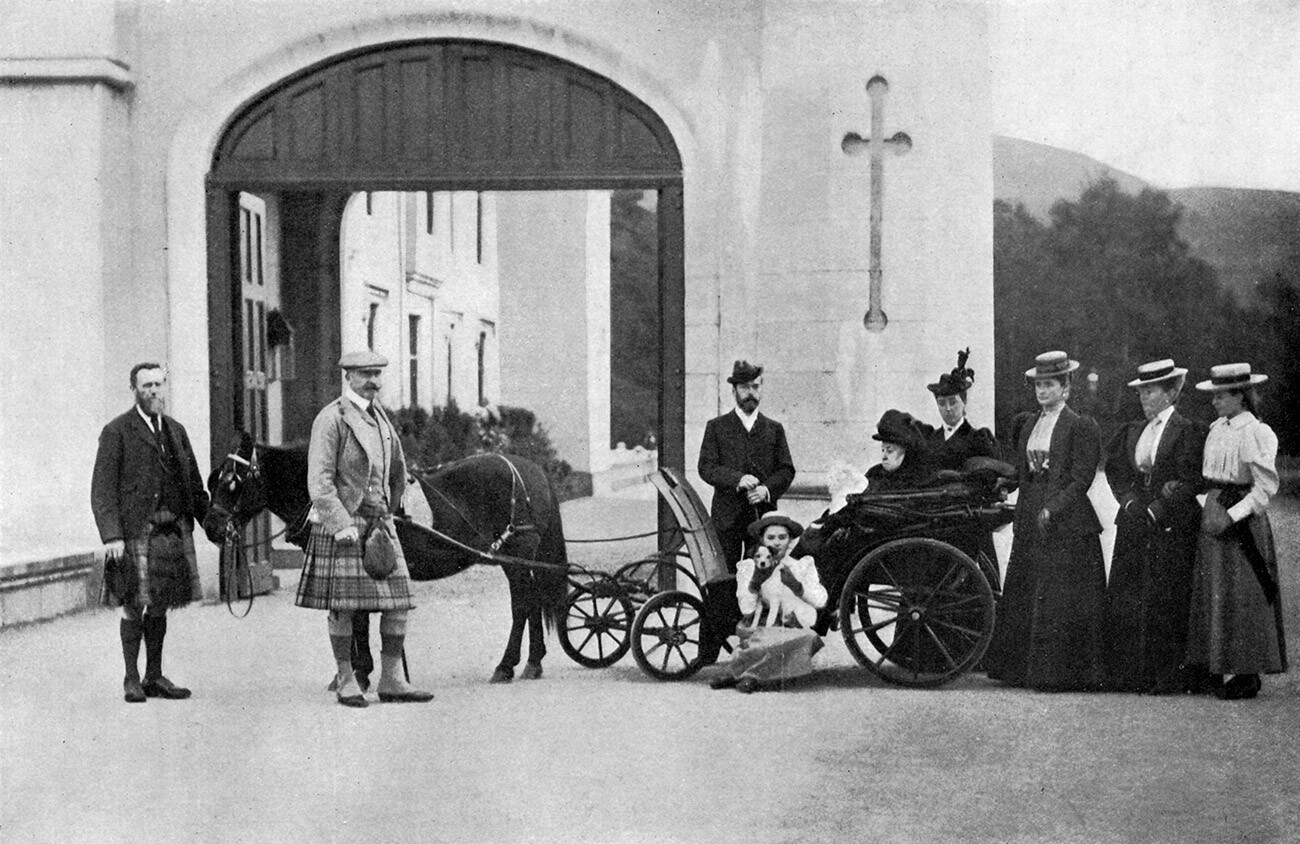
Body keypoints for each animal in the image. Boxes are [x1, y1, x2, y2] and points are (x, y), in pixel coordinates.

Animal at [204, 431, 569, 681]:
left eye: (234, 482)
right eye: (213, 478)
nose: (211, 527)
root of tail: (530, 469)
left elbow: (360, 618)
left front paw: (360, 673)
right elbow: (351, 617)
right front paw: (350, 673)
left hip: (515, 556)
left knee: (522, 604)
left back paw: (507, 665)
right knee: (532, 601)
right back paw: (533, 662)